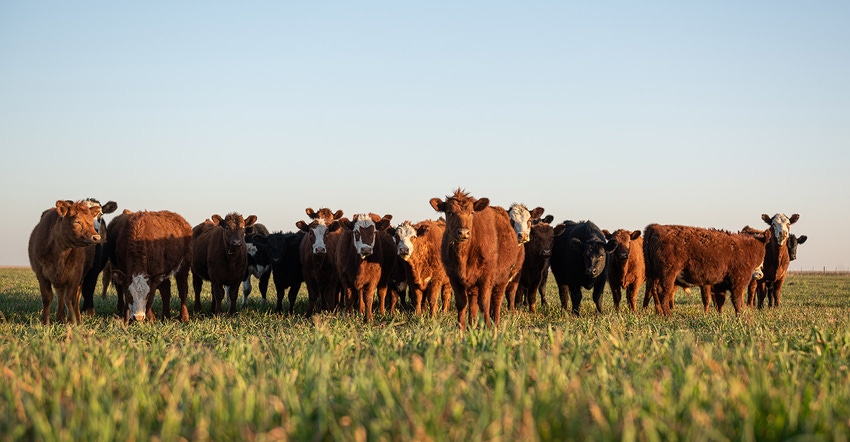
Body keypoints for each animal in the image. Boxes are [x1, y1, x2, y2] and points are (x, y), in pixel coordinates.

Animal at [428, 188, 520, 330]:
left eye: (471, 212)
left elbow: (485, 302)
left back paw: (496, 323)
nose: (463, 232)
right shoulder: (454, 277)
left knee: (497, 299)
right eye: (449, 212)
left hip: (503, 277)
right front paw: (461, 327)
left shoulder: (486, 276)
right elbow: (462, 303)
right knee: (473, 300)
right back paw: (472, 324)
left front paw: (488, 327)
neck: (463, 255)